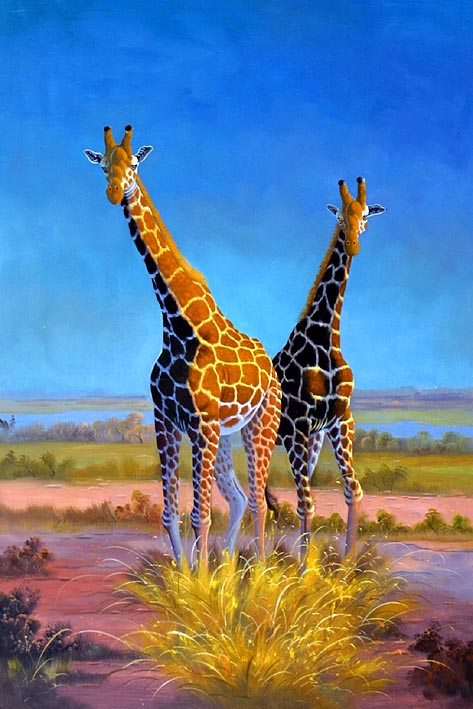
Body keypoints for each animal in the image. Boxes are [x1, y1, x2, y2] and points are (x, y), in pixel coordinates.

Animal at [84, 126, 281, 567]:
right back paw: (228, 568)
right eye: (103, 165)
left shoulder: (201, 424)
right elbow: (171, 512)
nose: (113, 191)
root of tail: (270, 367)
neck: (177, 325)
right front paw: (187, 576)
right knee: (239, 498)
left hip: (260, 423)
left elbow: (200, 516)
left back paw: (260, 571)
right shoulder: (167, 420)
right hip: (224, 436)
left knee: (258, 500)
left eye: (134, 163)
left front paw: (202, 582)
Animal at [271, 177, 386, 560]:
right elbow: (306, 502)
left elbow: (353, 490)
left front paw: (348, 567)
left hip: (311, 439)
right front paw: (304, 570)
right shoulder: (296, 426)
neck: (326, 339)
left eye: (365, 215)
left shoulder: (338, 421)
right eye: (339, 217)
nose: (353, 244)